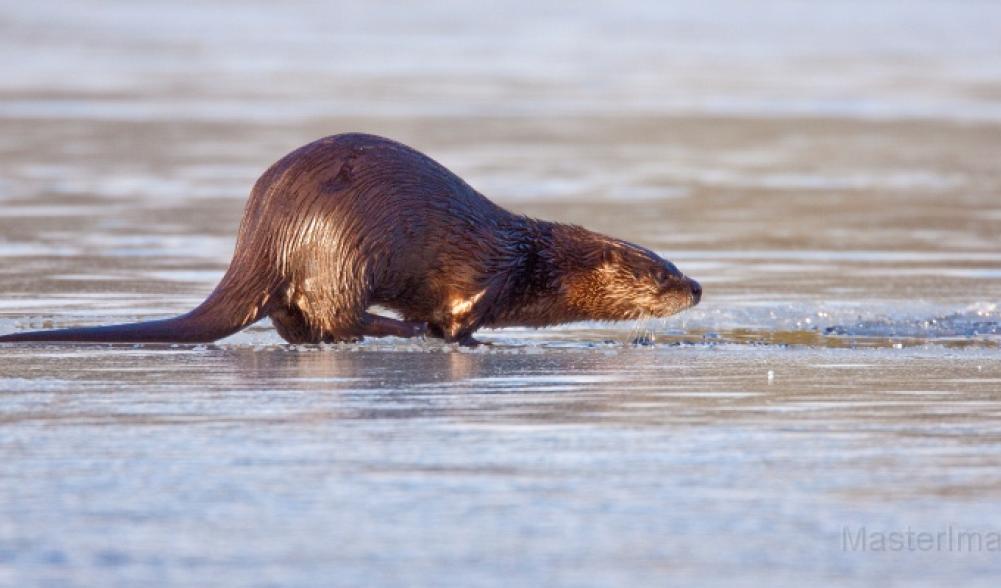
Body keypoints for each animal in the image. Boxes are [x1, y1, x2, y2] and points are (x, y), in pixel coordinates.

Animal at [0, 133, 700, 344]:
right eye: (661, 272)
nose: (695, 285)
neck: (534, 261)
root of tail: (266, 233)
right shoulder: (489, 273)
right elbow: (462, 318)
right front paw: (457, 338)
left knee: (293, 321)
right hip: (345, 250)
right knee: (336, 316)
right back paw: (398, 329)